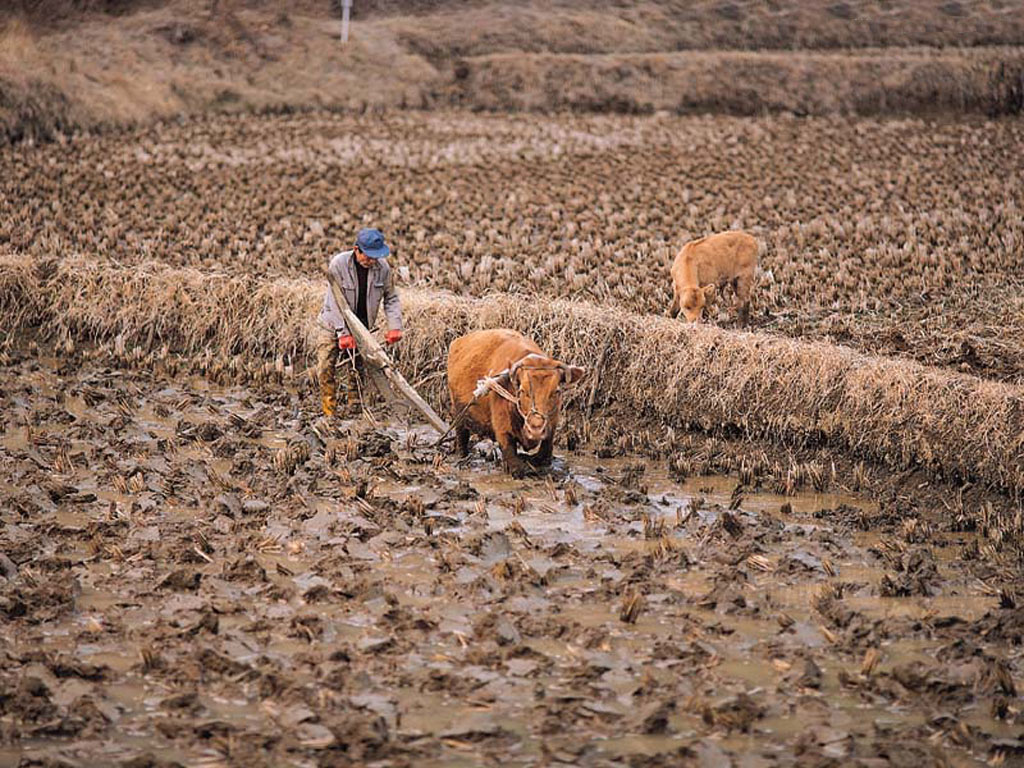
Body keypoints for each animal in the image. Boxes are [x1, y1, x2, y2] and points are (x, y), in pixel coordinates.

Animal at [447, 329, 585, 477]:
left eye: (556, 391)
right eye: (522, 390)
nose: (535, 430)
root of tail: (458, 341)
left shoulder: (552, 425)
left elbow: (544, 454)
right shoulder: (502, 429)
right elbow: (516, 465)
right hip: (459, 413)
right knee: (462, 436)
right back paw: (463, 459)